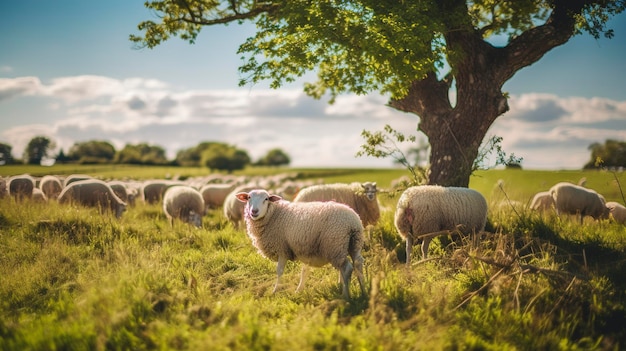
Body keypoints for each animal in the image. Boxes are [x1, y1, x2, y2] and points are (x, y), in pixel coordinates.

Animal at [236, 190, 368, 300]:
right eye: (248, 197)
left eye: (266, 199)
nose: (254, 211)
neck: (274, 214)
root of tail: (353, 221)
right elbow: (304, 270)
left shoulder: (282, 248)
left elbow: (279, 271)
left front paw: (274, 291)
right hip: (353, 243)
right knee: (357, 263)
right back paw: (363, 291)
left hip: (335, 244)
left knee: (346, 268)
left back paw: (345, 295)